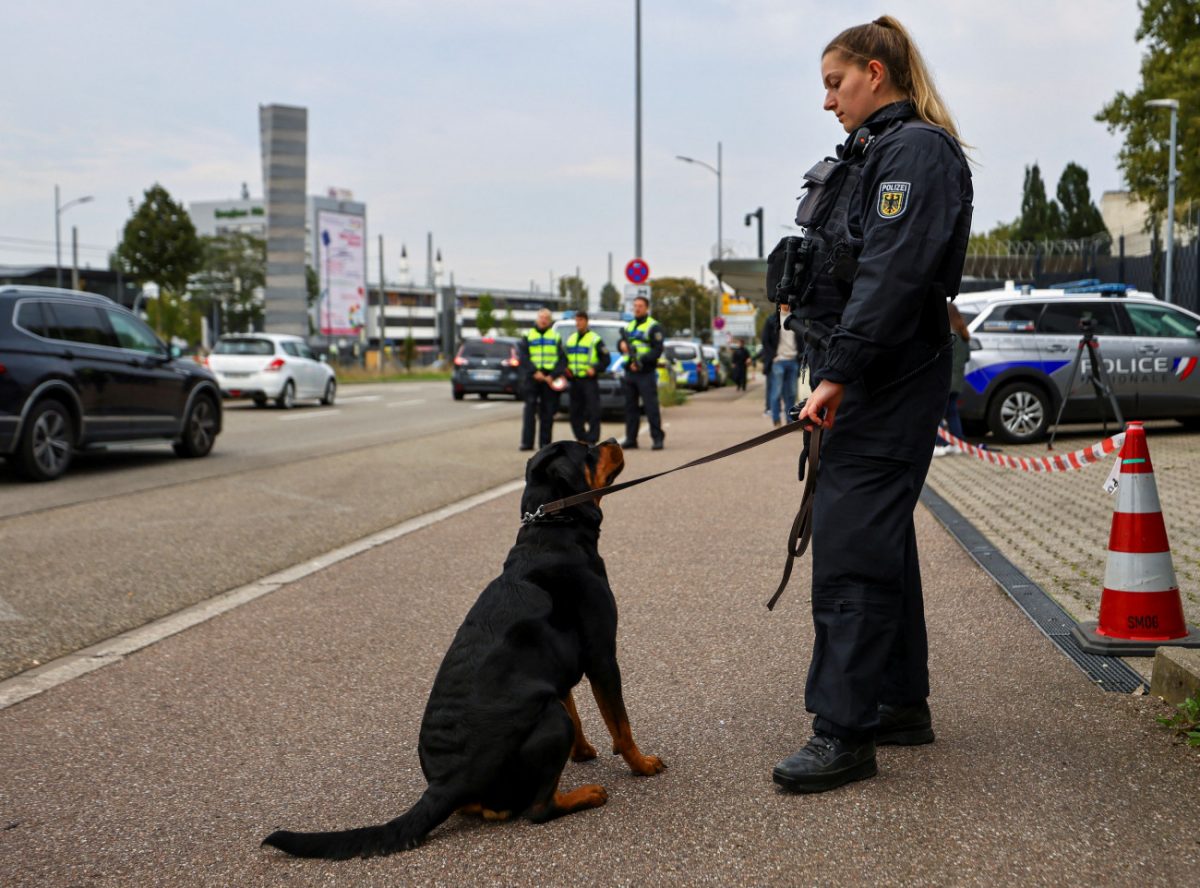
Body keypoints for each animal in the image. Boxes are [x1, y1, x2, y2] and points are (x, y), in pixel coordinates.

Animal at [261, 439, 667, 859]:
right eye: (587, 450)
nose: (613, 441)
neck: (553, 532)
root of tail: (446, 783)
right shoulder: (602, 656)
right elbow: (620, 724)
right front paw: (641, 764)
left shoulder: (559, 666)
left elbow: (579, 709)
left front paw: (583, 751)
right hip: (550, 718)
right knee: (538, 808)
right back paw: (586, 795)